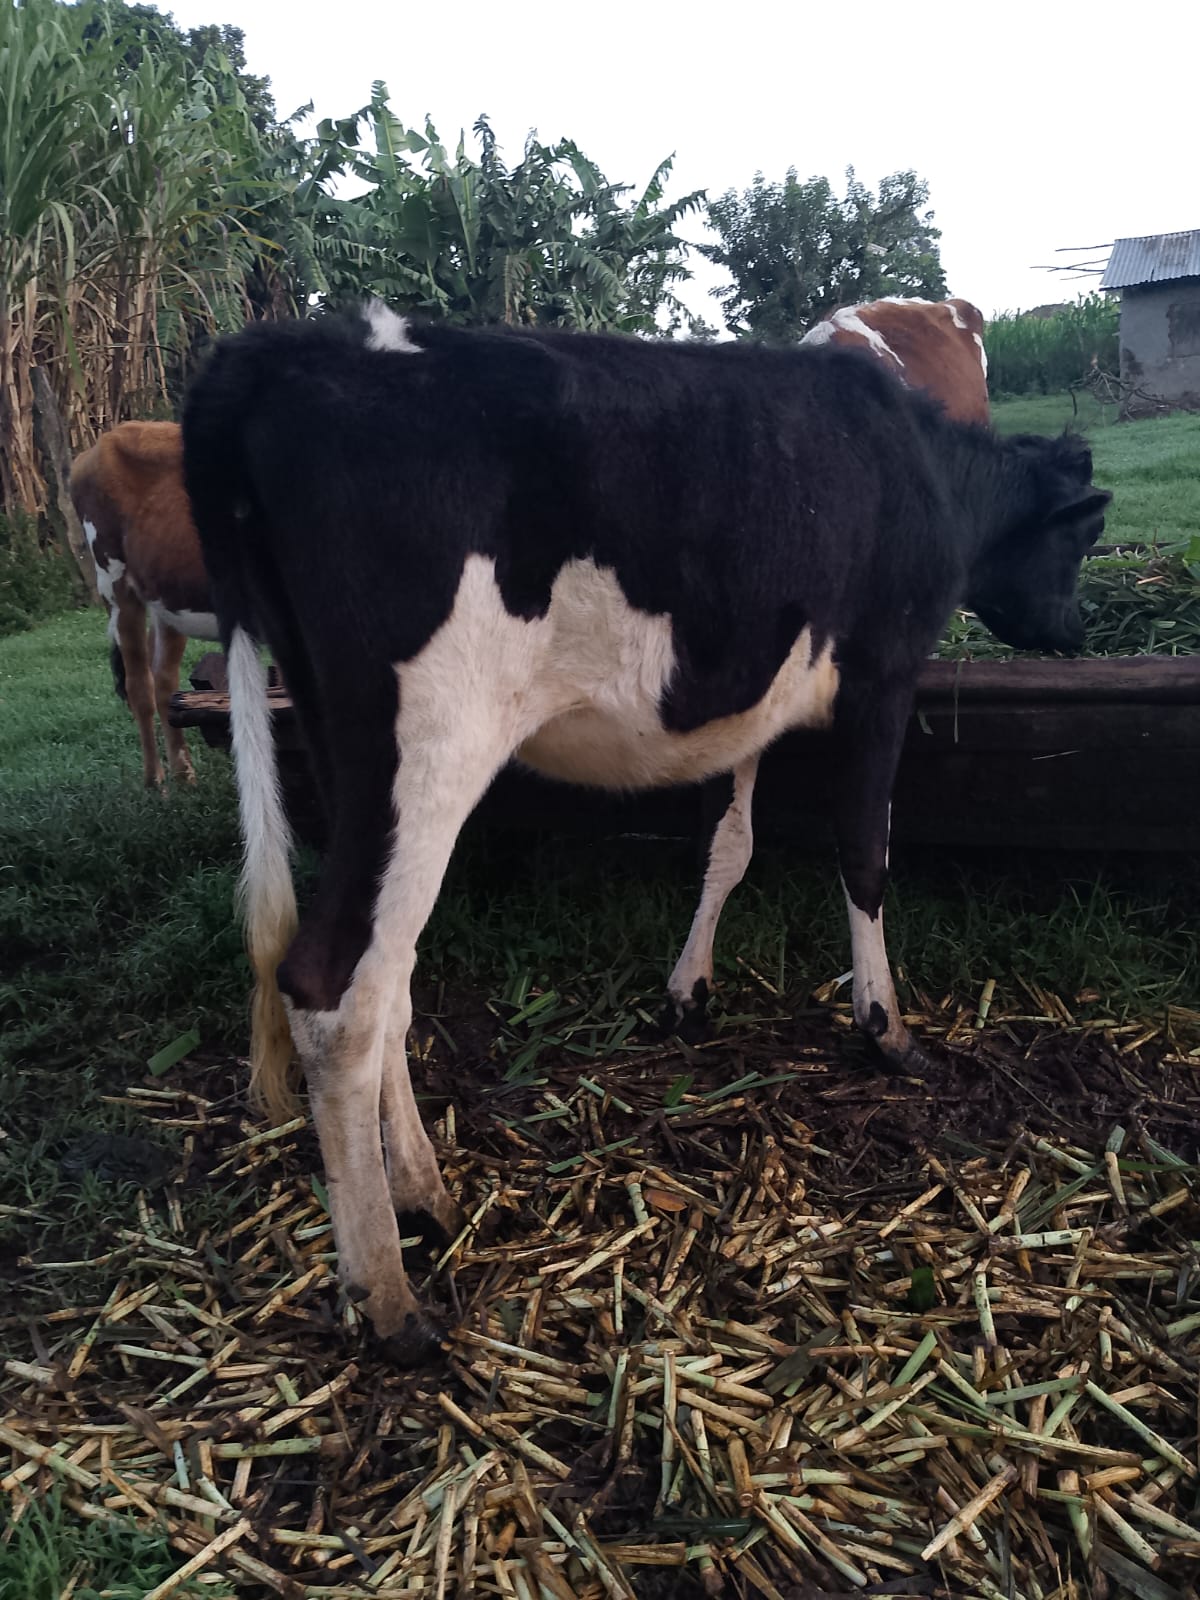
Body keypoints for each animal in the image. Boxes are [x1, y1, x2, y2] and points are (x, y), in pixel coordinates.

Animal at [70, 421, 218, 787]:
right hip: (116, 585)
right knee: (139, 686)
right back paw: (155, 782)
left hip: (170, 597)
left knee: (164, 680)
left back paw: (184, 775)